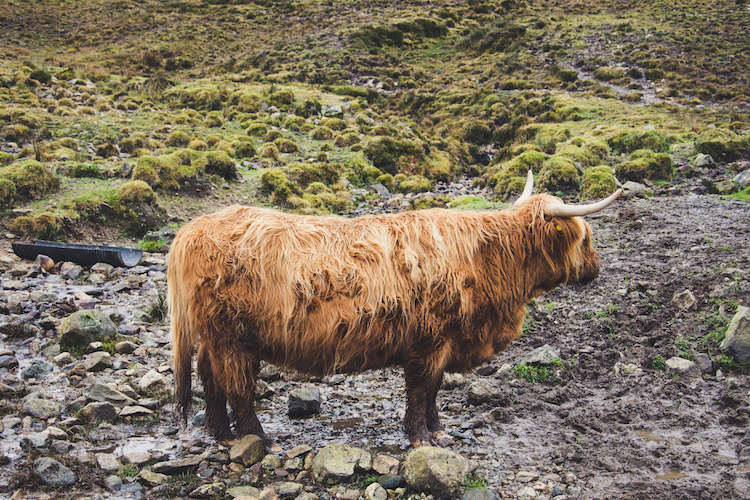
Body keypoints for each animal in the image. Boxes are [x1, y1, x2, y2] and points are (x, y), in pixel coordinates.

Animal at [170, 173, 624, 450]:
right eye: (585, 238)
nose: (597, 267)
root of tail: (194, 228)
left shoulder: (442, 344)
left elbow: (435, 391)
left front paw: (438, 431)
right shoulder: (429, 343)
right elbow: (422, 390)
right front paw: (421, 436)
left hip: (215, 336)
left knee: (209, 378)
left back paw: (221, 434)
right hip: (233, 338)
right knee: (237, 387)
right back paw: (257, 439)